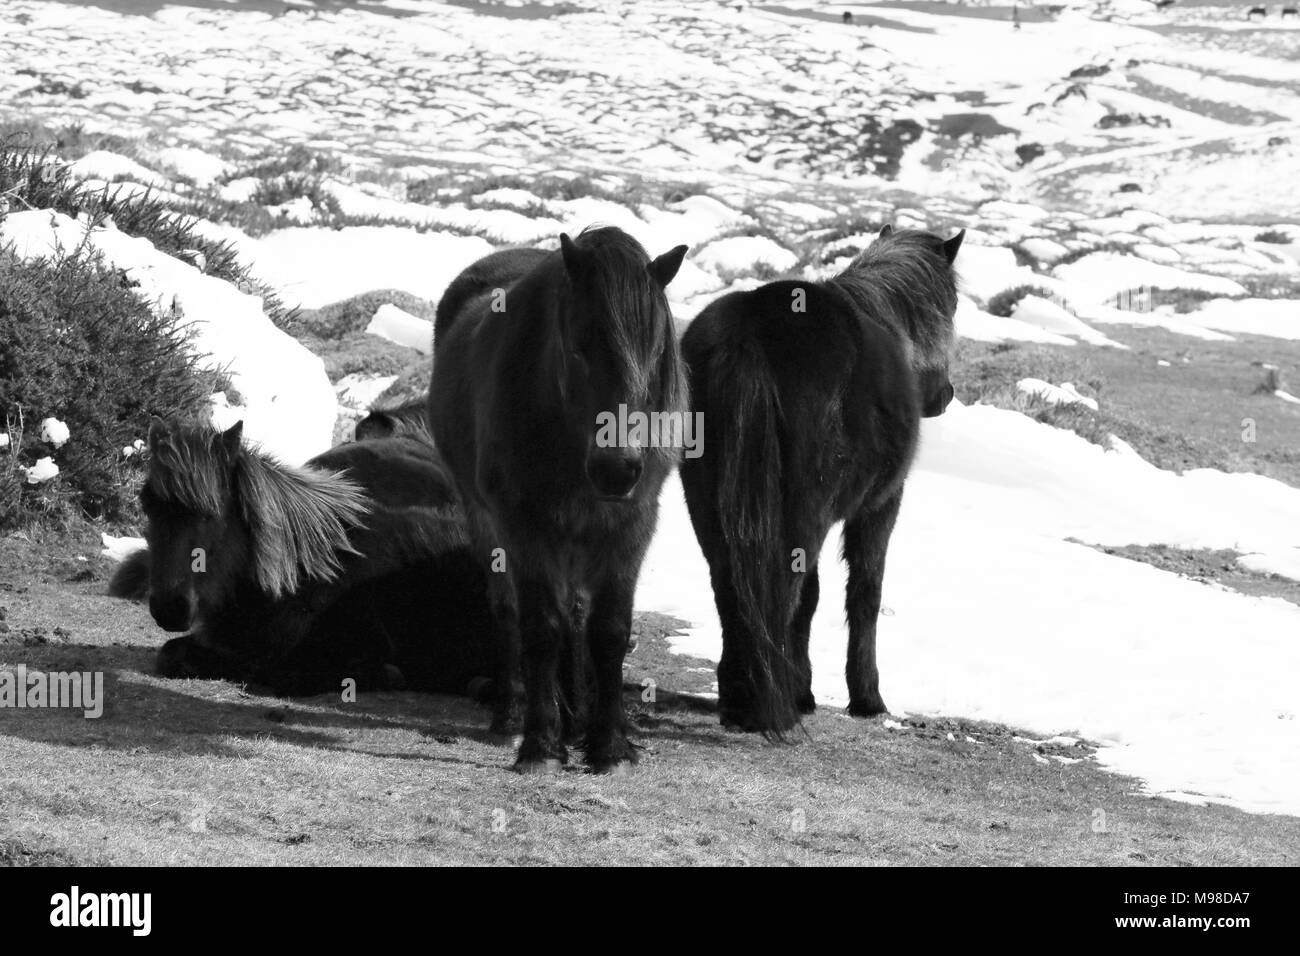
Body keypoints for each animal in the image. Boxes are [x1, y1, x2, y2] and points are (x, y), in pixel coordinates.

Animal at [110, 419, 494, 698]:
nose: (169, 607)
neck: (299, 578)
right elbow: (171, 654)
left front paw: (387, 675)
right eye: (148, 505)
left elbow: (280, 674)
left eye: (211, 513)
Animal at [429, 226, 688, 773]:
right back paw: (511, 718)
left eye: (655, 348)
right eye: (580, 346)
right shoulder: (527, 527)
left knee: (576, 615)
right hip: (489, 522)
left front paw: (609, 744)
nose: (617, 468)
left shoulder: (630, 526)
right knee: (507, 609)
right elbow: (540, 628)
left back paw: (577, 720)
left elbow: (608, 631)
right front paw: (542, 745)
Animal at [679, 225, 963, 736]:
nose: (944, 395)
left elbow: (810, 597)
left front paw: (805, 688)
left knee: (731, 585)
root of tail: (749, 334)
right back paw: (770, 703)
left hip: (709, 508)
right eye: (951, 305)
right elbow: (864, 593)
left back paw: (739, 696)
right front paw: (865, 697)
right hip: (804, 512)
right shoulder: (880, 506)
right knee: (780, 588)